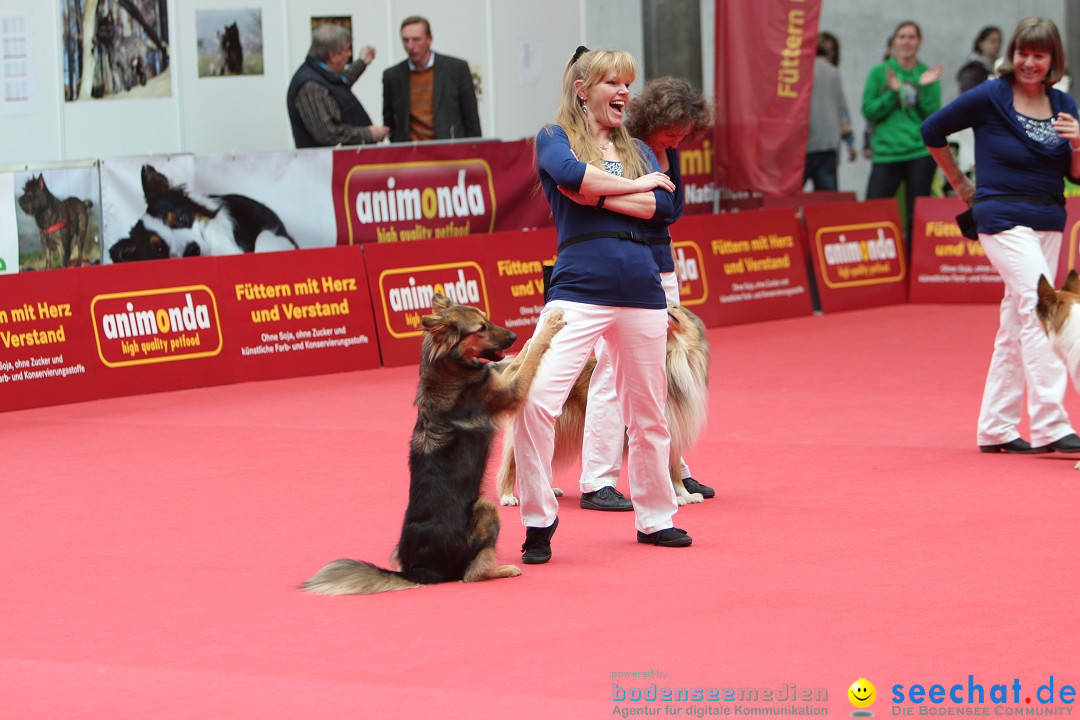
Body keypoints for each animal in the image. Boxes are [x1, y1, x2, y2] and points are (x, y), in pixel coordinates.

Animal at [300, 293, 561, 595]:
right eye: (481, 328)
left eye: (487, 320)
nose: (514, 335)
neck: (446, 368)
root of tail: (419, 570)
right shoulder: (511, 392)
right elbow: (528, 357)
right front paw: (545, 329)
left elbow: (515, 360)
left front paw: (532, 336)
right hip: (485, 508)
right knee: (470, 574)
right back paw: (503, 569)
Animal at [494, 304, 708, 507]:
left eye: (677, 307)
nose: (666, 305)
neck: (675, 355)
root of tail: (522, 363)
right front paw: (675, 498)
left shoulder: (675, 432)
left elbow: (675, 471)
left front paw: (686, 494)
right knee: (513, 463)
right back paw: (507, 496)